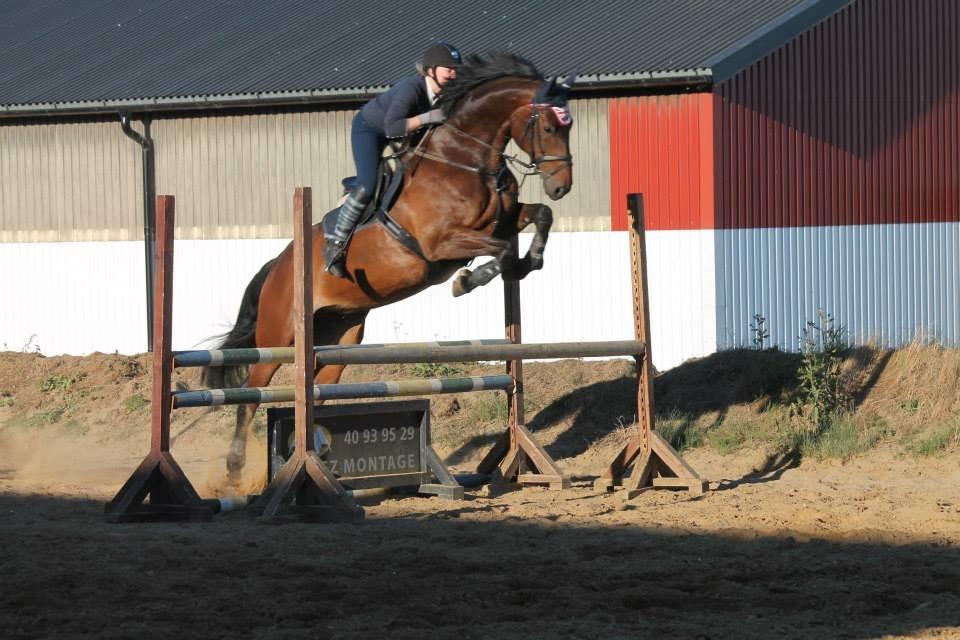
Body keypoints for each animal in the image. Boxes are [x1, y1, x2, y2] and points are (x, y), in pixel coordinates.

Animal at [203, 52, 572, 472]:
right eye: (548, 126)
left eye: (568, 126)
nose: (561, 186)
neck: (465, 160)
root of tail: (277, 266)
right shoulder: (440, 243)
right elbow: (502, 250)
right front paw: (467, 281)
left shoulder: (506, 220)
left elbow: (539, 216)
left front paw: (530, 262)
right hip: (280, 335)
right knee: (254, 386)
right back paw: (235, 463)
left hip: (341, 334)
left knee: (317, 386)